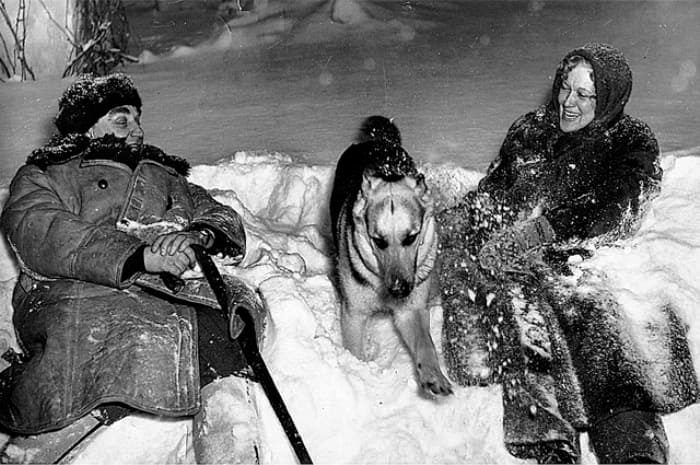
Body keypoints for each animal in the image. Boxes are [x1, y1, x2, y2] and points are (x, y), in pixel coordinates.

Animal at [330, 116, 452, 397]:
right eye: (378, 240)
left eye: (411, 237)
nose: (399, 289)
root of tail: (378, 141)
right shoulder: (353, 313)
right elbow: (355, 349)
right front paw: (360, 373)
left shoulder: (412, 308)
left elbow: (425, 343)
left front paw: (433, 375)